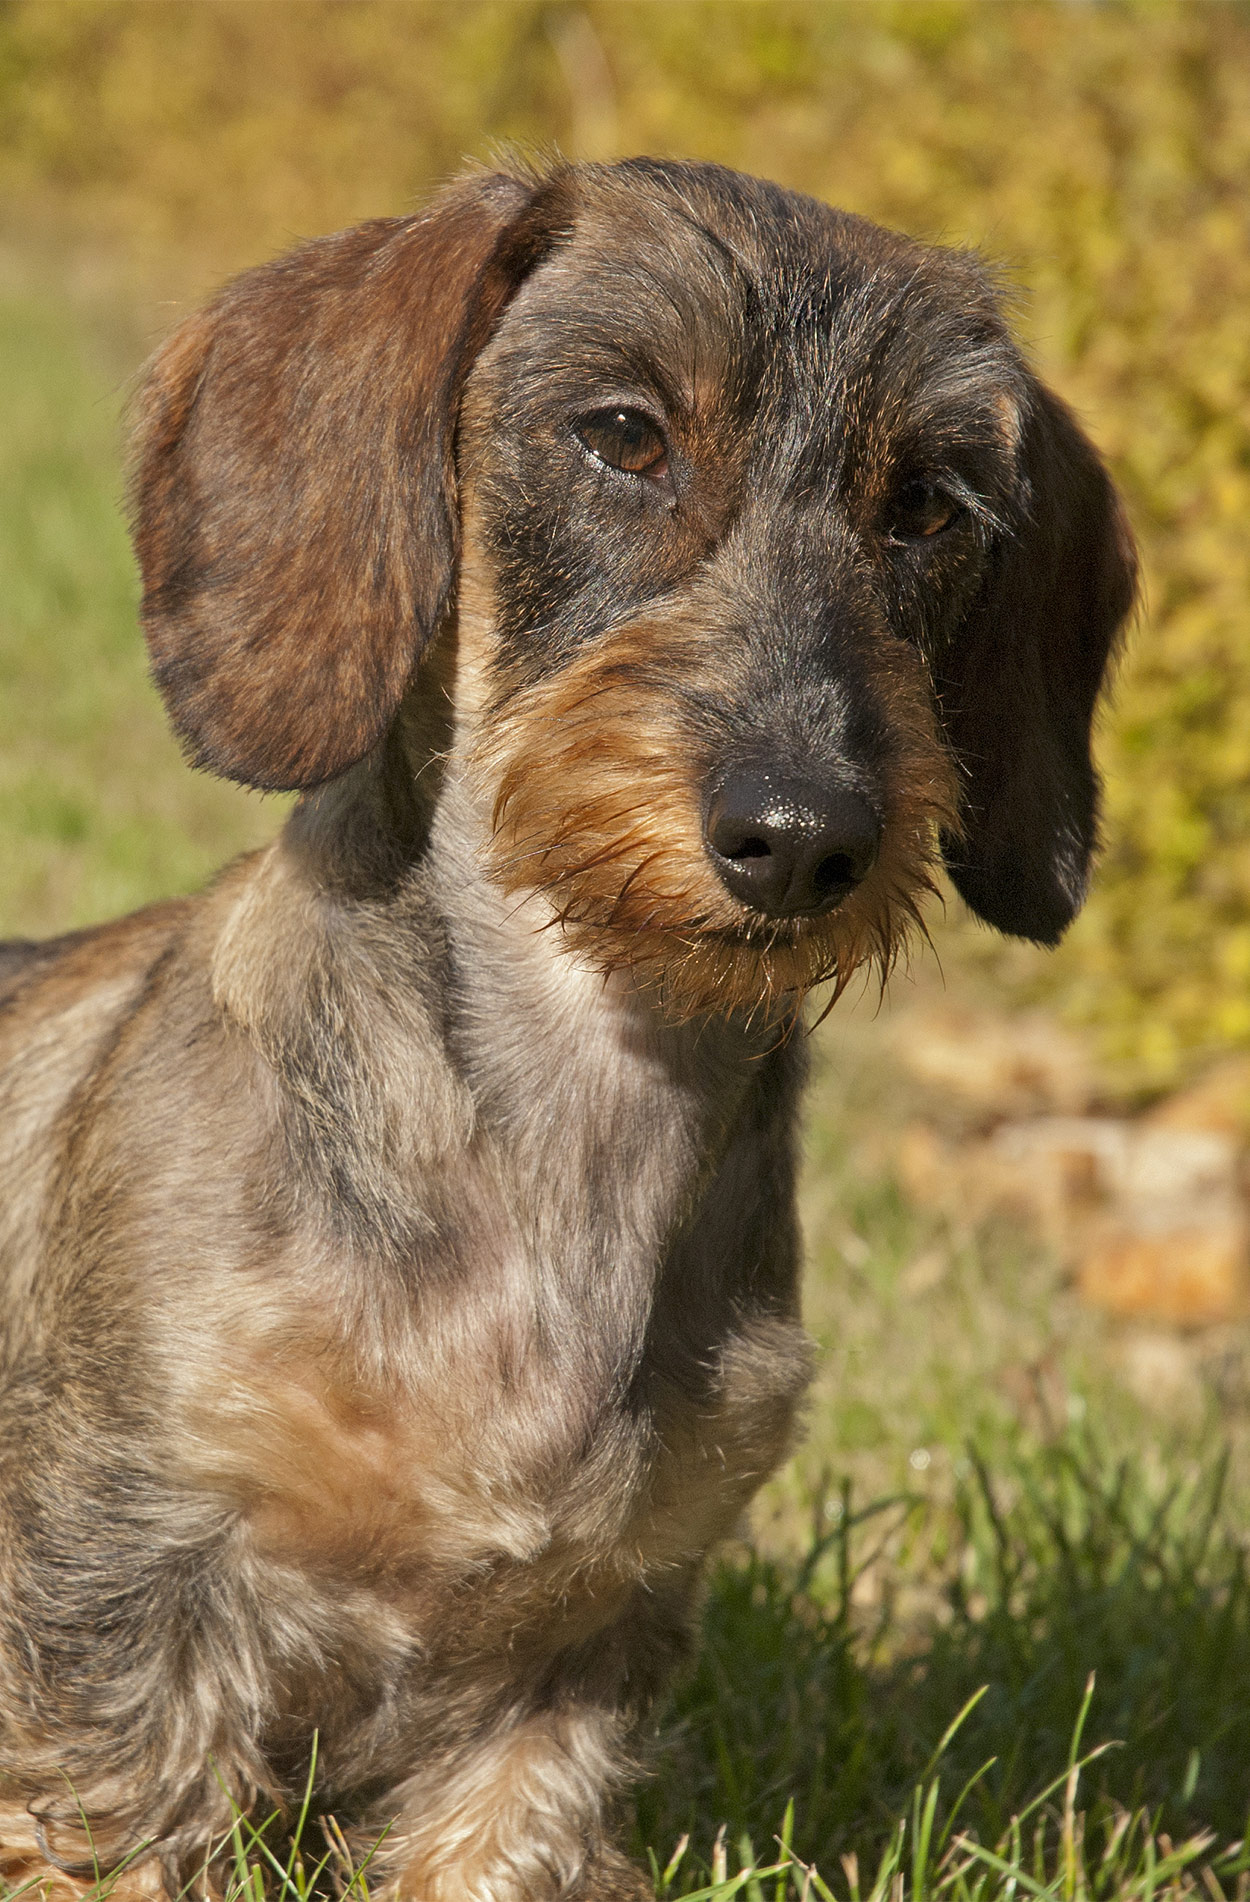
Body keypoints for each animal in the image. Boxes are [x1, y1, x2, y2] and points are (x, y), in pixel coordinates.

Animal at [0, 155, 1133, 1894]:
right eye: (621, 432)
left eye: (931, 506)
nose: (802, 834)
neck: (571, 1128)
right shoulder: (126, 1603)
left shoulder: (565, 1670)